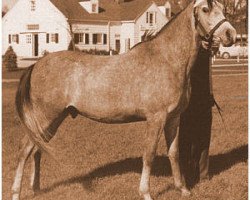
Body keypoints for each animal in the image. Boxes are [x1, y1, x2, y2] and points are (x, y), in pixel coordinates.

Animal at [10, 0, 235, 199]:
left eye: (222, 8)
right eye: (205, 9)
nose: (230, 34)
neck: (167, 59)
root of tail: (35, 65)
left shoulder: (173, 118)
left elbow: (174, 153)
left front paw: (183, 189)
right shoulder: (156, 118)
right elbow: (149, 154)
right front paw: (146, 193)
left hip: (52, 120)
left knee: (36, 150)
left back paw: (36, 189)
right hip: (46, 117)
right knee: (24, 150)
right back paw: (16, 193)